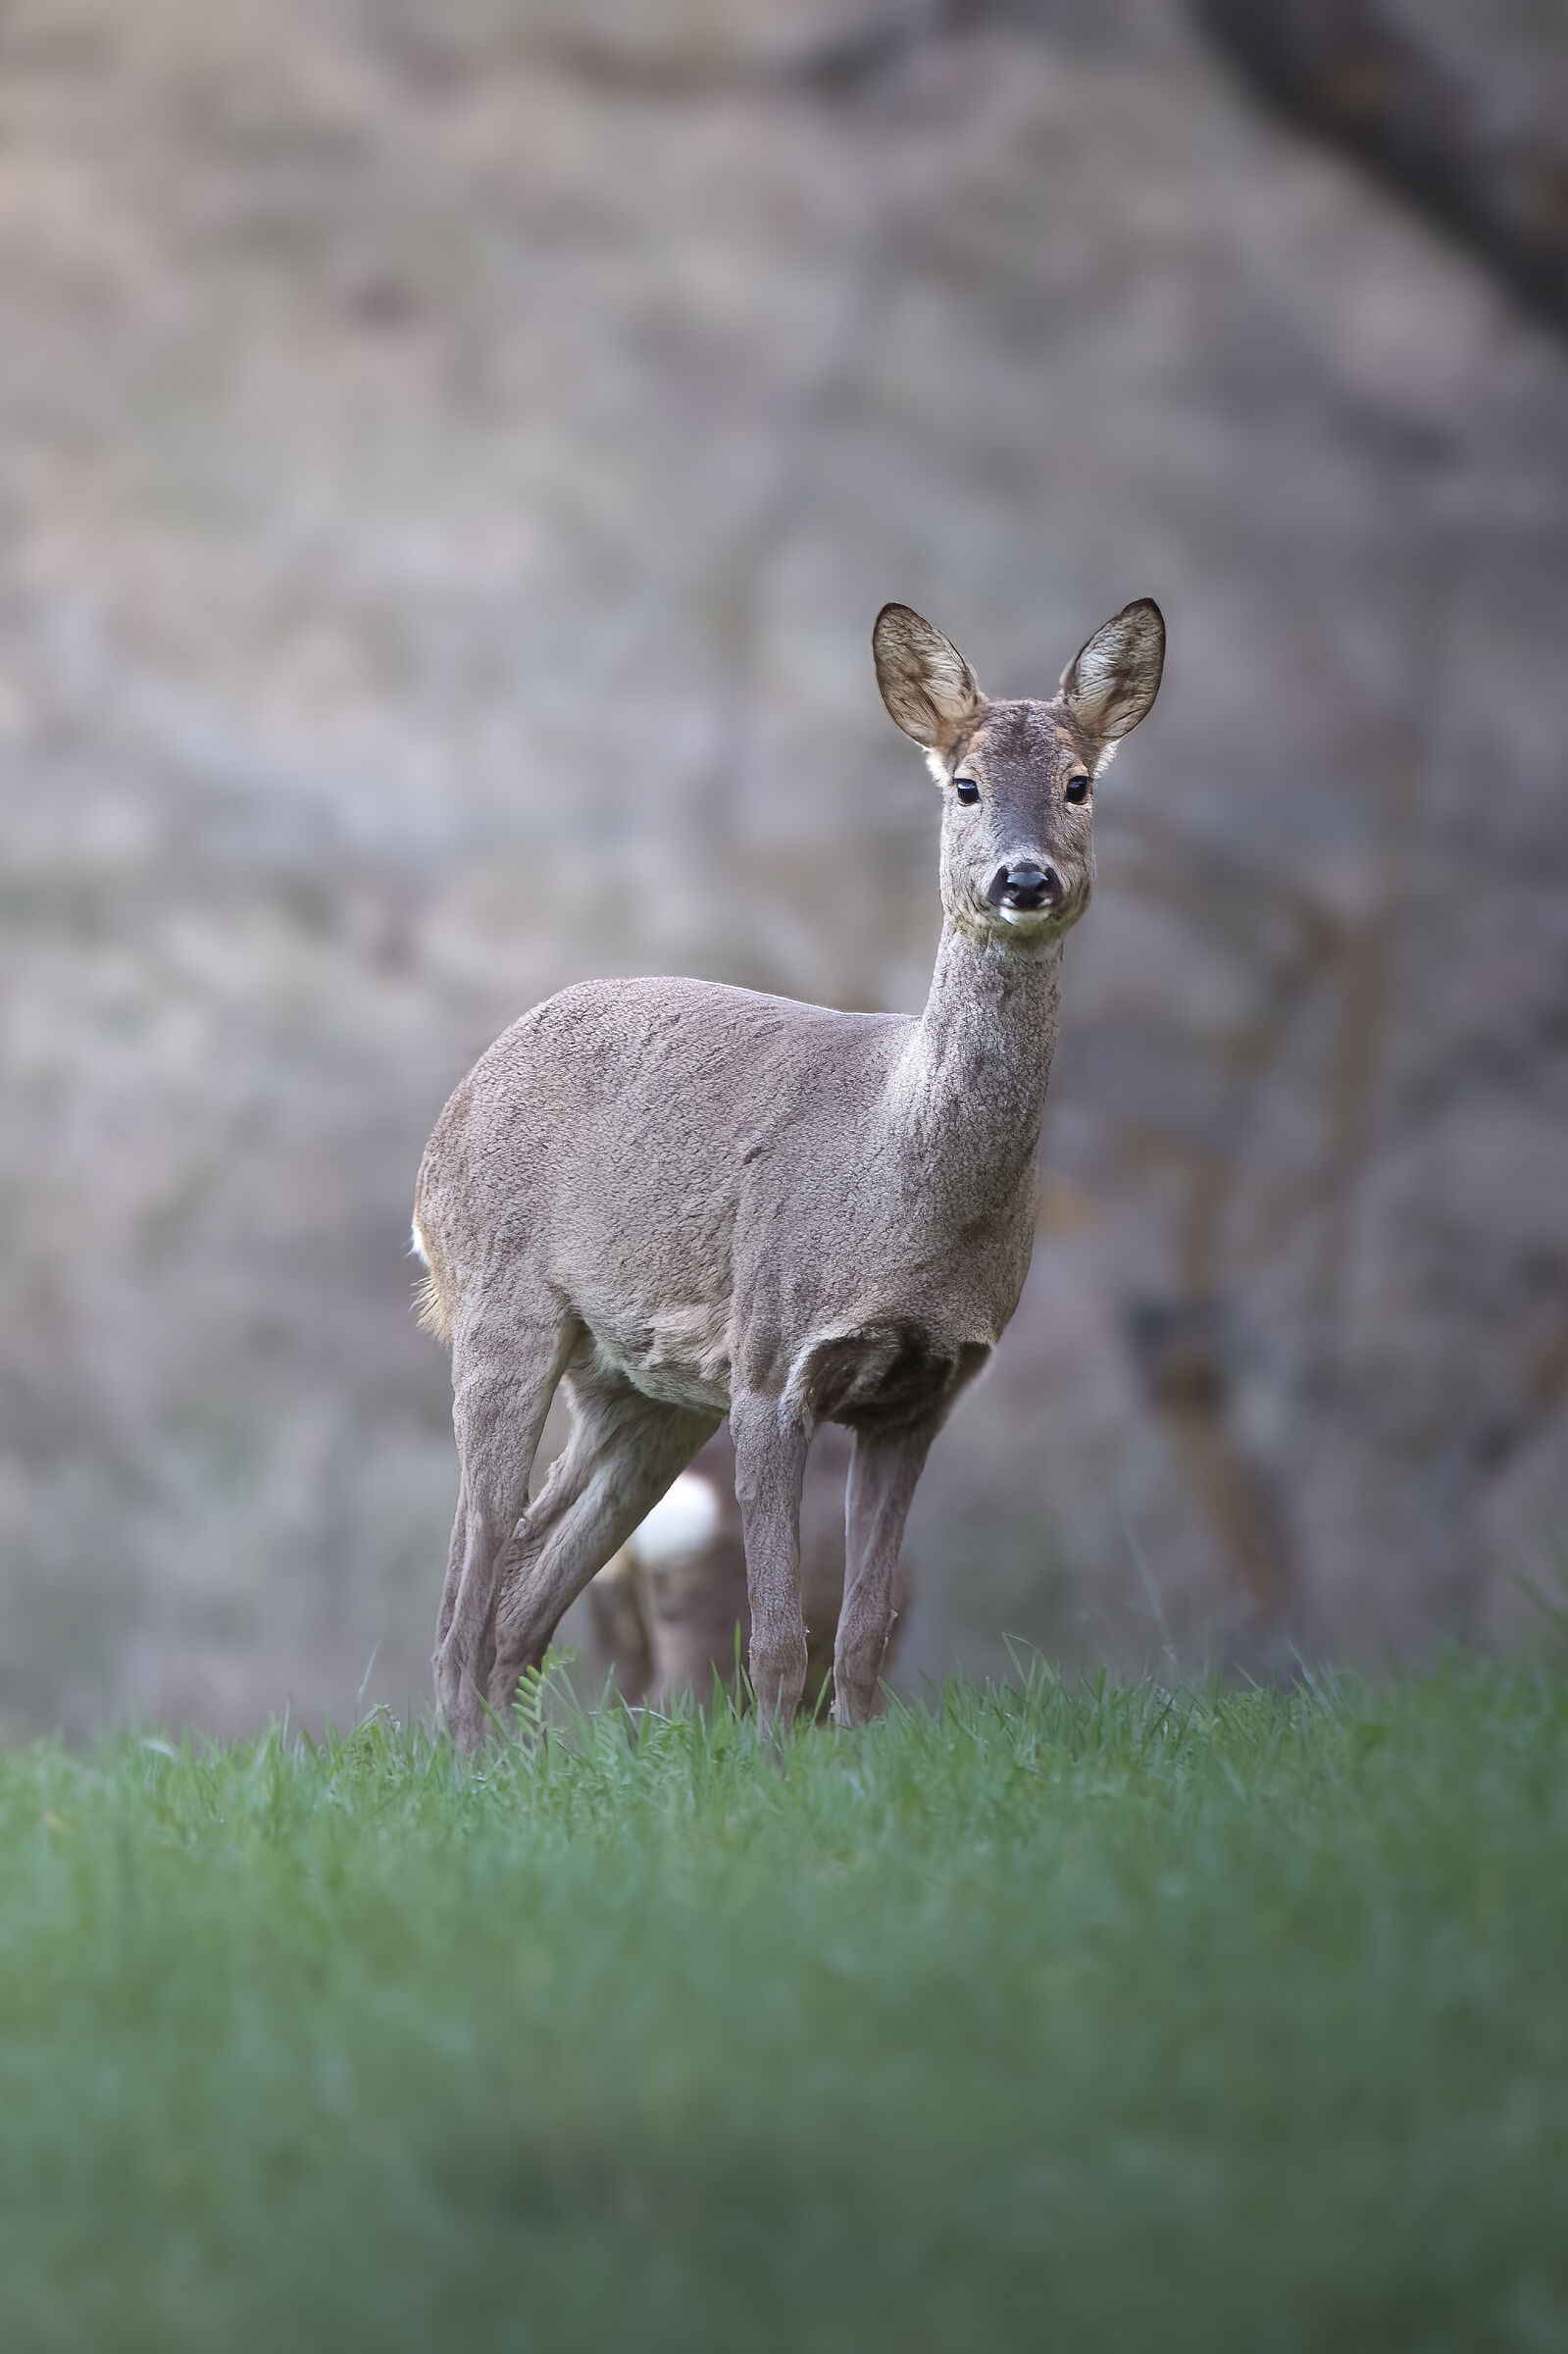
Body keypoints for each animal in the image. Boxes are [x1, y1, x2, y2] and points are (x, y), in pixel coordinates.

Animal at [412, 596, 1165, 1750]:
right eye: (963, 784)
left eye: (1080, 782)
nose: (1025, 879)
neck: (901, 1185)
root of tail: (445, 1123)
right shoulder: (773, 1359)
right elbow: (775, 1640)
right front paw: (773, 1769)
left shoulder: (927, 1392)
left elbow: (860, 1637)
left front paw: (853, 1762)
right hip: (504, 1306)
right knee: (467, 1582)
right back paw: (468, 1760)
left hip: (643, 1389)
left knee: (529, 1583)